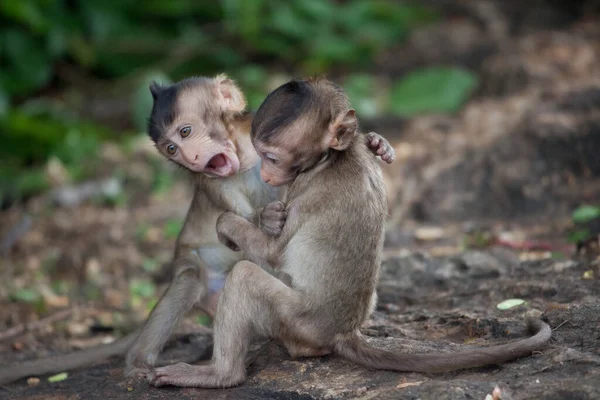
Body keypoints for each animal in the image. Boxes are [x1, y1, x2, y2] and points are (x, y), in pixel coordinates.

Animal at [144, 78, 548, 388]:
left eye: (272, 156)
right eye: (172, 147)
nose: (270, 176)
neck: (335, 157)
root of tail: (342, 332)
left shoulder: (303, 192)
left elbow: (273, 252)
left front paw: (228, 226)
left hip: (295, 318)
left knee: (245, 275)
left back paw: (221, 375)